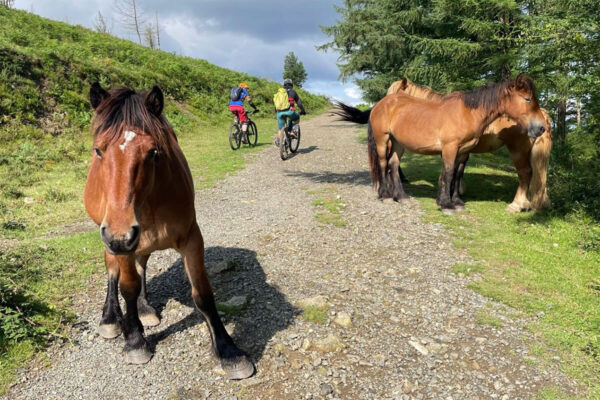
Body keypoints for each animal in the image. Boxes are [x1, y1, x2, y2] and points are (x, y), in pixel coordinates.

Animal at [84, 83, 253, 380]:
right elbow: (127, 285)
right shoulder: (121, 241)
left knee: (142, 264)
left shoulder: (190, 238)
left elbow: (203, 293)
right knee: (112, 271)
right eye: (98, 150)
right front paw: (135, 341)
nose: (120, 234)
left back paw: (145, 308)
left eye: (153, 152)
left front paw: (228, 351)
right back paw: (110, 318)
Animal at [336, 74, 548, 214]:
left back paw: (402, 197)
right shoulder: (449, 148)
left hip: (398, 143)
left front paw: (455, 202)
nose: (540, 128)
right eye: (527, 99)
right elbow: (447, 173)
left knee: (393, 164)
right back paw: (386, 195)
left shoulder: (462, 151)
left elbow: (454, 174)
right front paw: (446, 205)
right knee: (382, 164)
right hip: (383, 139)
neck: (466, 113)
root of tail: (381, 104)